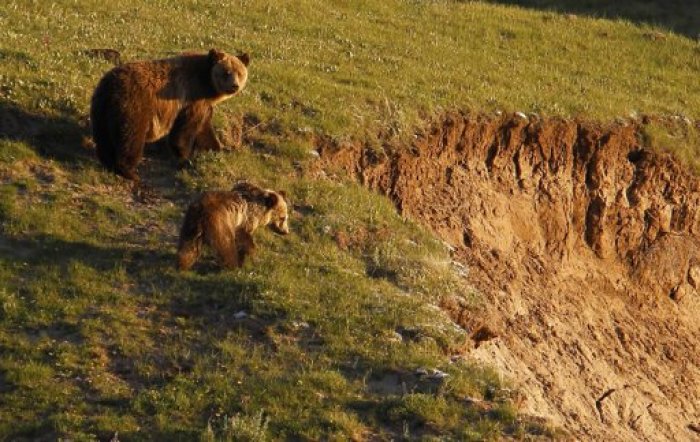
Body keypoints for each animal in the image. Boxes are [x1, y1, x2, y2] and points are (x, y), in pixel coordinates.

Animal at [90, 48, 249, 180]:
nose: (234, 85)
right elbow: (184, 130)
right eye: (226, 72)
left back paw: (108, 162)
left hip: (101, 108)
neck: (207, 84)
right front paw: (184, 157)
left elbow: (204, 128)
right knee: (131, 137)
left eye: (239, 73)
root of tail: (110, 86)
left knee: (104, 138)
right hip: (134, 106)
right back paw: (129, 171)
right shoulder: (191, 97)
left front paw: (217, 148)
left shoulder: (203, 104)